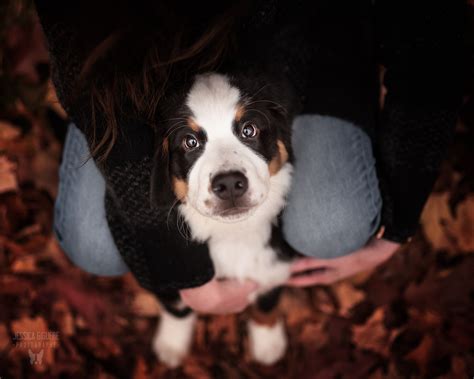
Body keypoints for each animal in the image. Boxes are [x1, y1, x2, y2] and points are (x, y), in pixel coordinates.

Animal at [150, 71, 298, 368]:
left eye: (249, 130)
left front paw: (268, 343)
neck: (233, 234)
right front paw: (171, 345)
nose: (229, 183)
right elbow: (177, 308)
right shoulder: (166, 270)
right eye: (190, 142)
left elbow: (266, 302)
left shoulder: (276, 261)